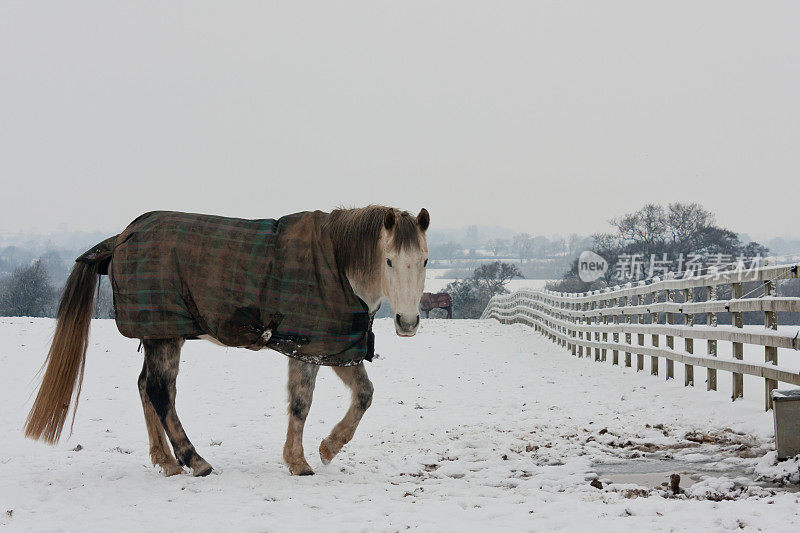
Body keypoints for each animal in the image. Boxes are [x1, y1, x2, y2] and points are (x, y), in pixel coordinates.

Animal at [21, 206, 428, 476]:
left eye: (424, 260)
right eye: (388, 261)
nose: (407, 323)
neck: (339, 265)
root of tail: (121, 238)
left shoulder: (332, 347)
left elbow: (364, 394)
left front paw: (328, 448)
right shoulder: (305, 345)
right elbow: (301, 403)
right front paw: (299, 463)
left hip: (160, 335)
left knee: (146, 389)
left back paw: (166, 462)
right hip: (165, 336)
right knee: (159, 393)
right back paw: (194, 461)